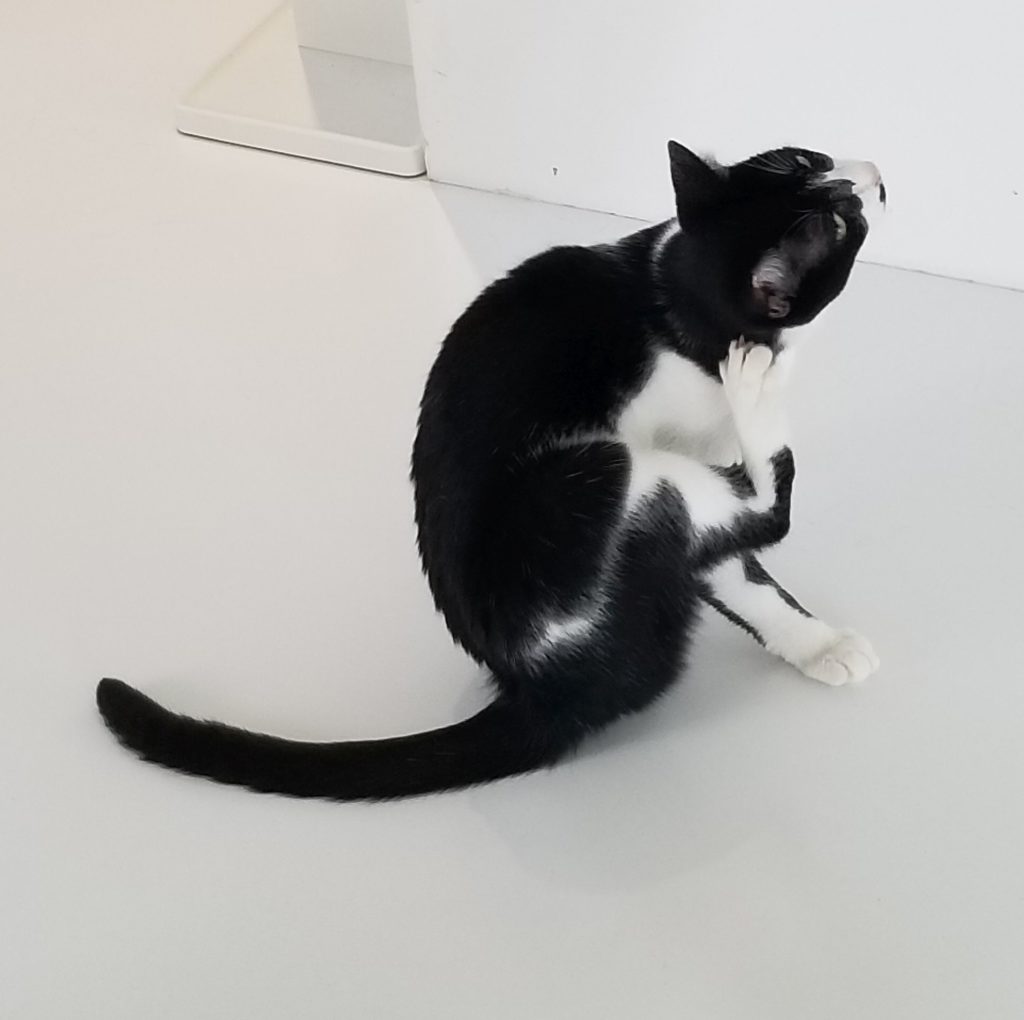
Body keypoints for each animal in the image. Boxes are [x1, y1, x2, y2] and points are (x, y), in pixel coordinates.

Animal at [97, 142, 883, 801]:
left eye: (808, 157)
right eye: (839, 222)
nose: (869, 178)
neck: (680, 306)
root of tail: (544, 688)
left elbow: (737, 572)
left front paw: (816, 643)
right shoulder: (670, 450)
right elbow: (746, 528)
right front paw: (757, 382)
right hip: (590, 476)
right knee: (763, 509)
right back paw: (758, 396)